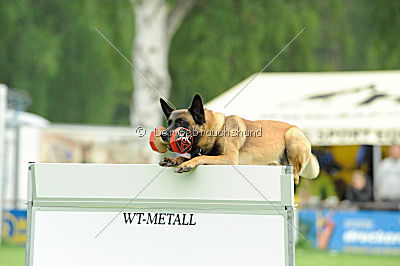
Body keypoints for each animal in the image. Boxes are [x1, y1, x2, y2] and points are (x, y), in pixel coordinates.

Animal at [159, 94, 318, 184]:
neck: (217, 130)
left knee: (295, 175)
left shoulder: (229, 158)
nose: (163, 135)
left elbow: (201, 157)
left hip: (292, 136)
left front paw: (187, 164)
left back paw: (274, 164)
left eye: (181, 122)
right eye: (169, 122)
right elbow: (187, 156)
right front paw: (173, 159)